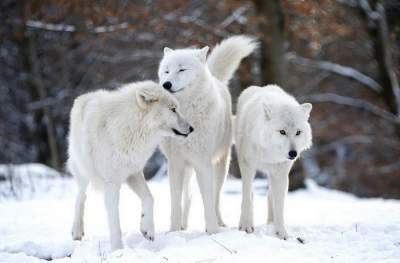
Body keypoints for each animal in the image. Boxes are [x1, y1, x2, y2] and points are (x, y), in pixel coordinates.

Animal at [66, 81, 193, 252]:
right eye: (173, 109)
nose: (192, 128)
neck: (132, 128)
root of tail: (84, 96)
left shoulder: (133, 173)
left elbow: (149, 198)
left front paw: (147, 229)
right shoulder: (112, 183)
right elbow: (114, 222)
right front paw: (117, 250)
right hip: (83, 171)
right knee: (80, 196)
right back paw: (77, 231)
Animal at [158, 36, 258, 234]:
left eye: (181, 69)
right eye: (166, 71)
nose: (166, 85)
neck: (186, 115)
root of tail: (215, 77)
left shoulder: (202, 162)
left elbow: (208, 200)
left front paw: (212, 231)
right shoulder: (175, 163)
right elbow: (175, 202)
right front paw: (174, 231)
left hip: (220, 166)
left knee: (216, 196)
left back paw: (219, 223)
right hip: (188, 169)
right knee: (187, 197)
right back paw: (183, 225)